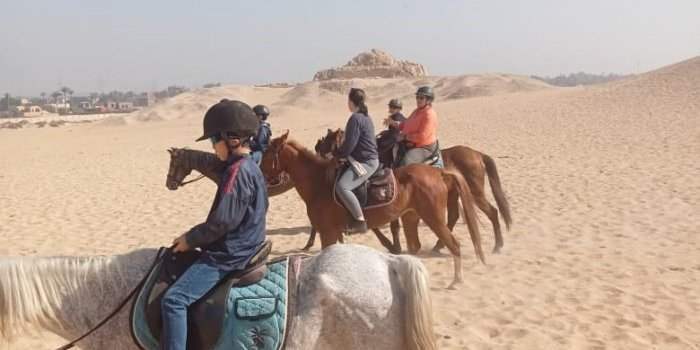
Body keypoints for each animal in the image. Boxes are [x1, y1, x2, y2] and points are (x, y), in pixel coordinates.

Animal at [260, 131, 484, 288]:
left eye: (267, 153)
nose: (257, 172)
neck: (319, 182)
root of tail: (439, 173)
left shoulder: (328, 233)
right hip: (411, 218)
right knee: (416, 248)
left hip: (433, 218)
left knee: (453, 244)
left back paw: (456, 281)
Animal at [318, 127, 516, 253]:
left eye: (327, 142)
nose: (316, 148)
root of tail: (477, 154)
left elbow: (391, 226)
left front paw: (394, 247)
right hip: (455, 195)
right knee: (453, 216)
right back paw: (439, 245)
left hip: (475, 192)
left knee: (492, 211)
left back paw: (497, 246)